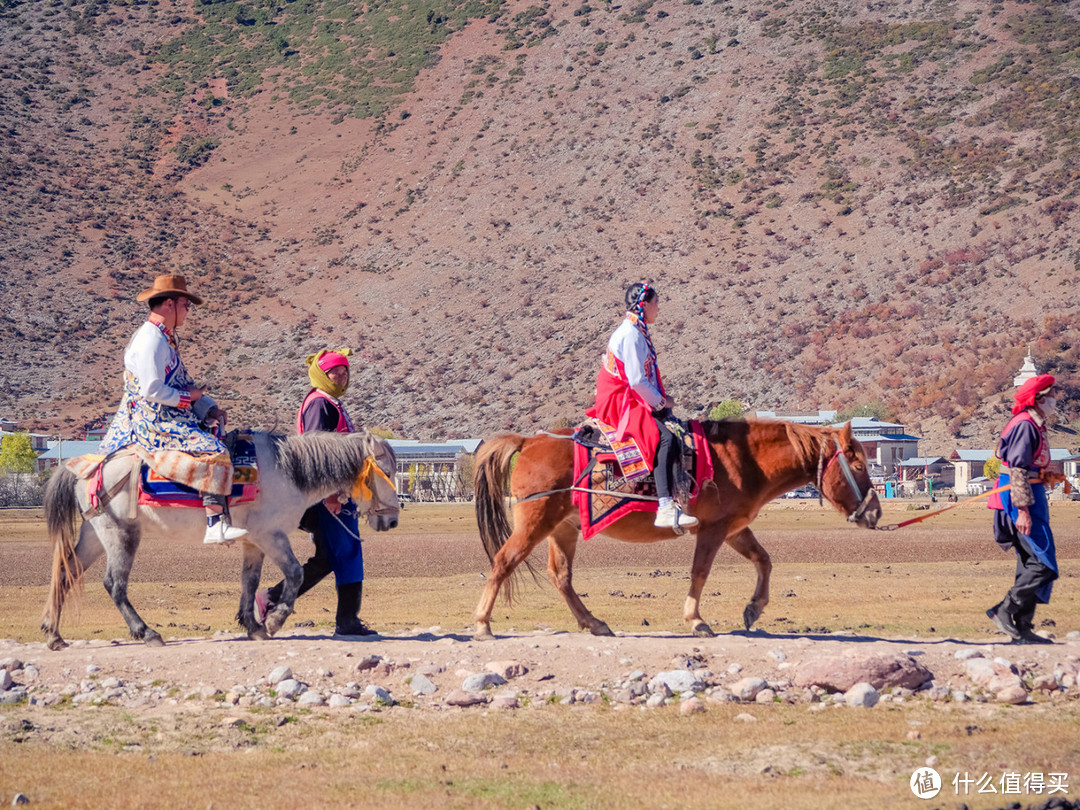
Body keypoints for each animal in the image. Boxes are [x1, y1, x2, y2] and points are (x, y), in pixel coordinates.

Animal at [41, 432, 401, 652]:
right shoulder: (271, 536)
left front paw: (253, 625)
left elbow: (249, 581)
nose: (392, 521)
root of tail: (87, 467)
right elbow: (296, 573)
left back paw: (55, 635)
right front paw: (274, 620)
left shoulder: (254, 542)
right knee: (114, 584)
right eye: (386, 471)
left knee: (66, 573)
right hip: (122, 534)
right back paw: (148, 633)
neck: (288, 472)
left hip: (95, 534)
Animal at [477, 419, 881, 639]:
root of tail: (529, 441)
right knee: (503, 561)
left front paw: (753, 609)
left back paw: (595, 623)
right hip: (535, 522)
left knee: (561, 576)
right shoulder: (713, 529)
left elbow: (763, 560)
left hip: (563, 528)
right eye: (860, 466)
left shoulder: (734, 529)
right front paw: (697, 620)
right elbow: (700, 571)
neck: (745, 460)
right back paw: (482, 624)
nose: (874, 513)